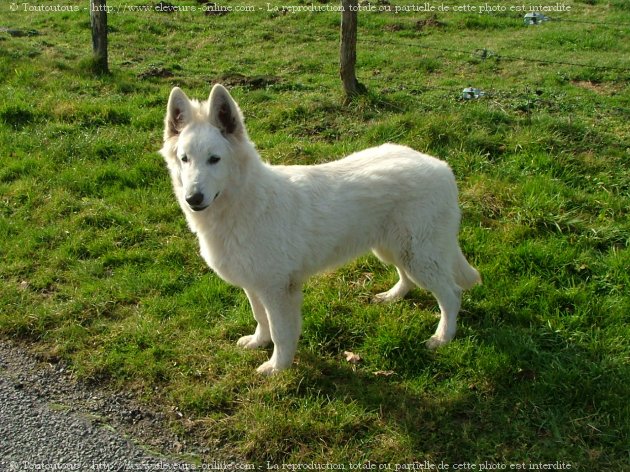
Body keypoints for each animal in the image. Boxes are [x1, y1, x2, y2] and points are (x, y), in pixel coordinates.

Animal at [160, 83, 482, 374]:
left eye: (214, 159)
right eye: (184, 159)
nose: (193, 199)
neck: (243, 204)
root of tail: (440, 166)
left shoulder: (278, 289)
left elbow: (281, 332)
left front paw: (277, 367)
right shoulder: (254, 284)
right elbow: (260, 318)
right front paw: (258, 342)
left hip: (418, 255)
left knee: (451, 295)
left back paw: (442, 337)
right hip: (392, 248)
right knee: (408, 278)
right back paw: (393, 296)